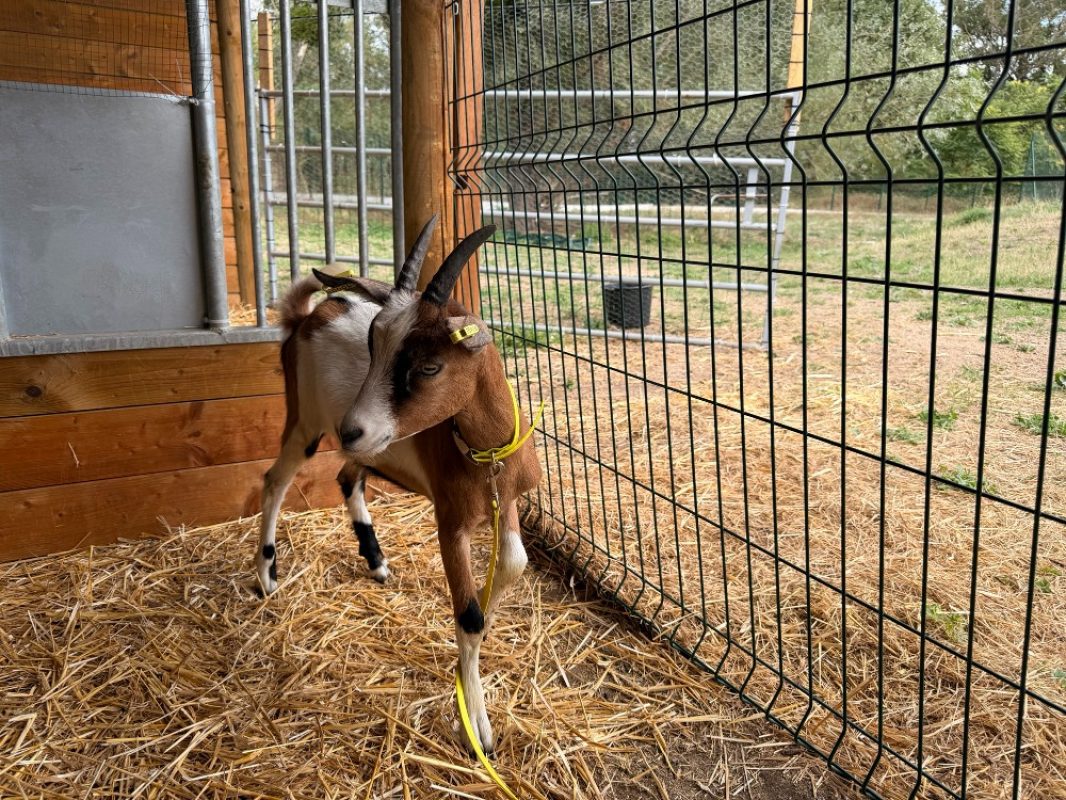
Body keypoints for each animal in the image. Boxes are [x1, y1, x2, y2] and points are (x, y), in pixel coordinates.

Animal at [255, 216, 541, 753]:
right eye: (372, 348)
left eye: (429, 366)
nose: (351, 428)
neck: (482, 450)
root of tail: (305, 317)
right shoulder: (450, 521)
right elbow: (468, 616)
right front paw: (476, 726)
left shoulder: (505, 498)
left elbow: (513, 564)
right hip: (305, 422)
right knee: (275, 480)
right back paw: (266, 575)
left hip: (365, 447)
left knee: (347, 476)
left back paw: (376, 561)